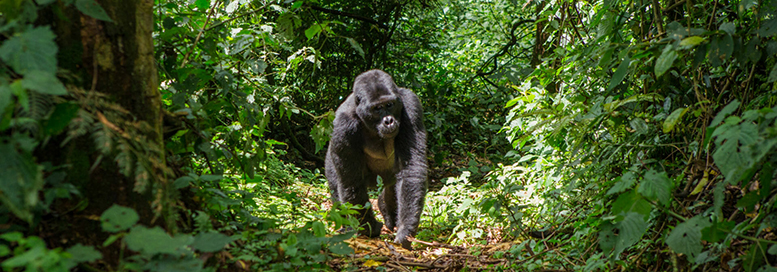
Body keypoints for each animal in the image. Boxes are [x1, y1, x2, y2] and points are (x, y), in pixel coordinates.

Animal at [324, 69, 428, 250]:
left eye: (389, 105)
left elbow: (411, 169)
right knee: (338, 185)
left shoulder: (411, 104)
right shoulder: (342, 126)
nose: (389, 121)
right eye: (377, 108)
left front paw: (405, 229)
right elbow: (352, 183)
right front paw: (369, 228)